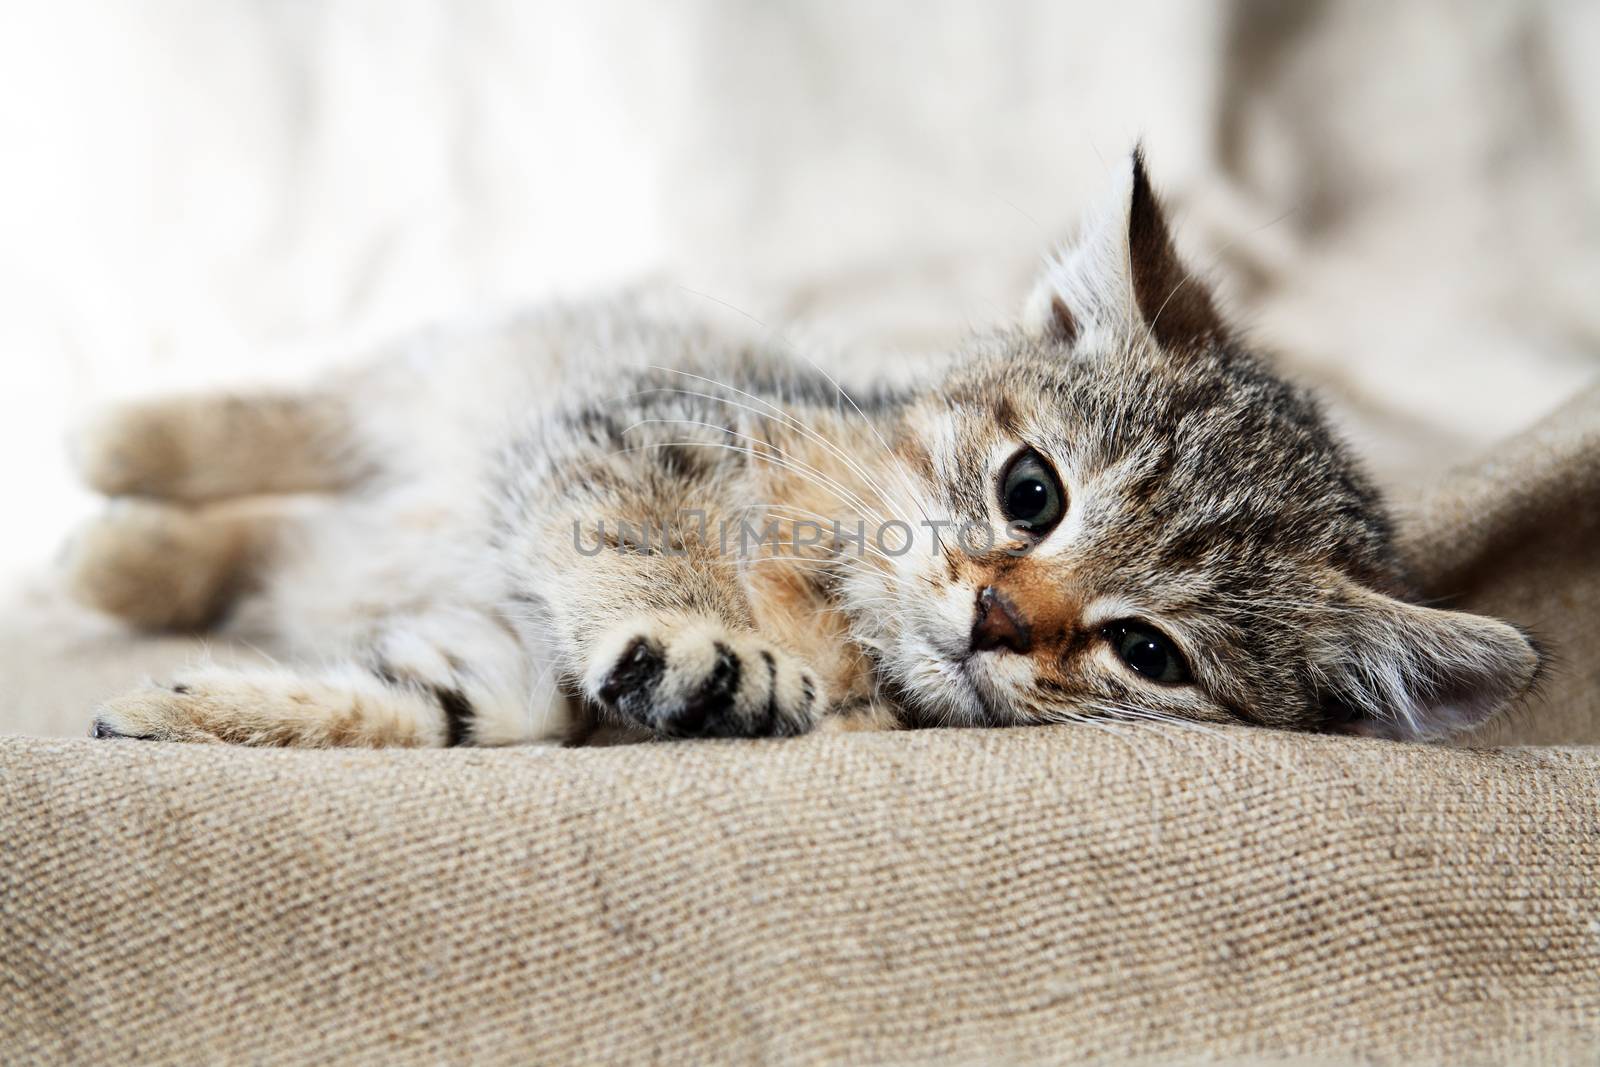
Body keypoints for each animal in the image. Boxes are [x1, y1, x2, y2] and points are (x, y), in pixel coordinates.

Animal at [72, 154, 1536, 748]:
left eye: (1150, 652)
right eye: (1032, 490)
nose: (998, 616)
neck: (841, 610)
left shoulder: (521, 667)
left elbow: (451, 706)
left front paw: (187, 709)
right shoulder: (632, 424)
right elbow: (626, 538)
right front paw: (687, 627)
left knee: (283, 530)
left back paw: (132, 557)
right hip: (495, 359)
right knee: (325, 411)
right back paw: (120, 449)